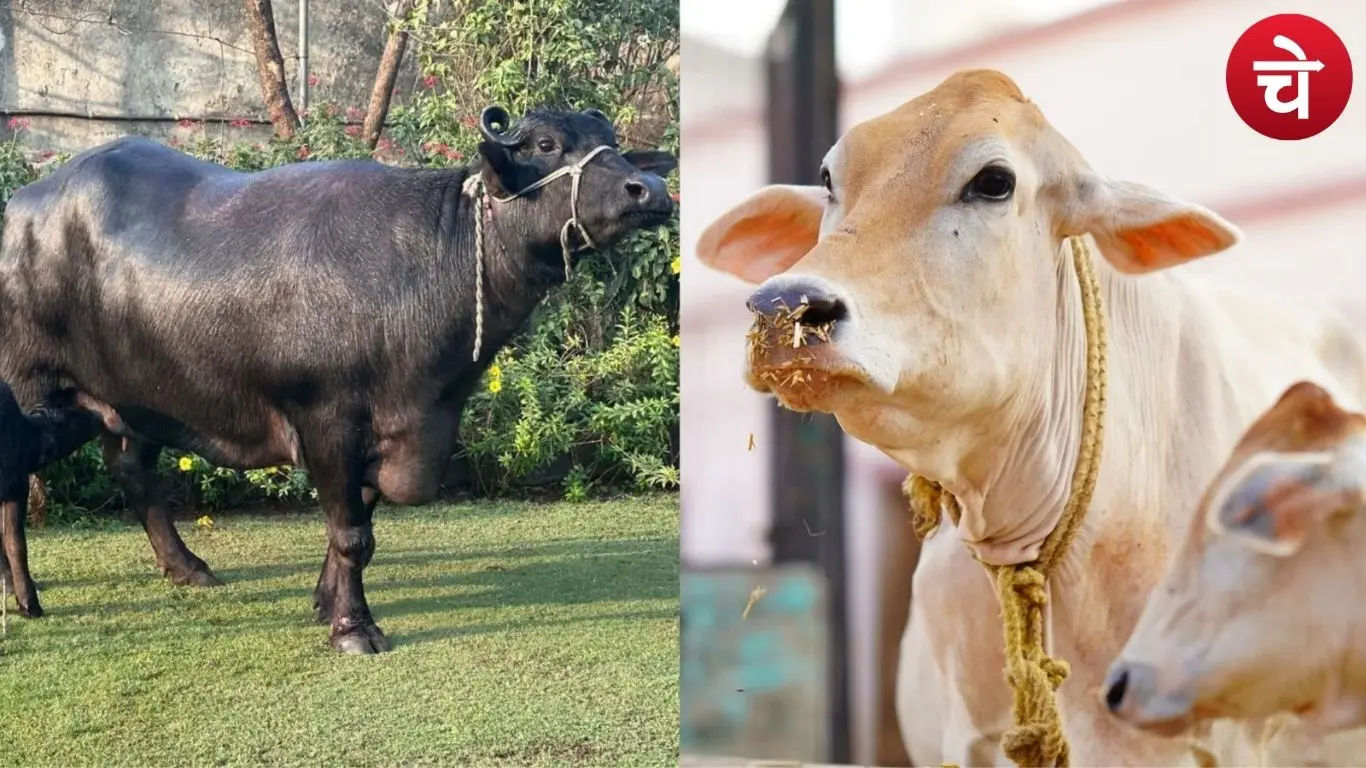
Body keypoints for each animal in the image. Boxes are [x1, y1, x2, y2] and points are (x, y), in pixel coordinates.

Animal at [0, 105, 676, 654]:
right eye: (544, 144)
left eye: (611, 141)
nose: (650, 189)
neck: (432, 259)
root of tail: (22, 207)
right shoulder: (326, 419)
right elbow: (351, 533)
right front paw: (355, 628)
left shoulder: (389, 427)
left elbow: (359, 526)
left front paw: (326, 602)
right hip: (28, 388)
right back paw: (25, 595)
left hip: (124, 397)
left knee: (130, 467)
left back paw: (187, 568)